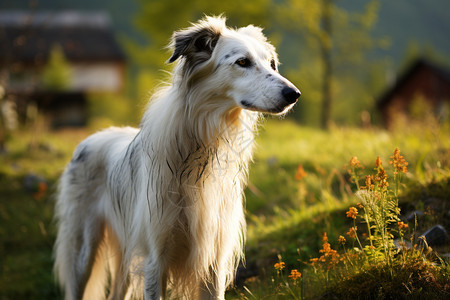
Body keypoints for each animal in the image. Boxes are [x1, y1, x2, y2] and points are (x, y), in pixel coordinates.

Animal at [53, 16, 298, 300]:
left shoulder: (213, 258)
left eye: (271, 63)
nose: (294, 94)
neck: (201, 150)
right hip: (82, 251)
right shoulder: (155, 259)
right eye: (243, 62)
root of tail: (90, 138)